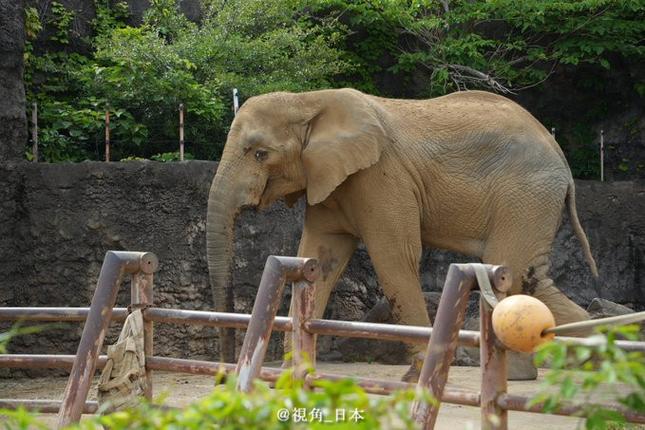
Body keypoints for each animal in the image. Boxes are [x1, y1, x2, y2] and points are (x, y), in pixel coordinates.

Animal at [206, 88, 598, 381]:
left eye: (260, 154)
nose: (223, 374)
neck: (308, 99)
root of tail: (561, 159)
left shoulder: (381, 177)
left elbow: (394, 258)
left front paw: (415, 376)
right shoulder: (331, 182)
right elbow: (319, 257)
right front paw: (291, 373)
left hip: (525, 195)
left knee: (510, 268)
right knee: (528, 278)